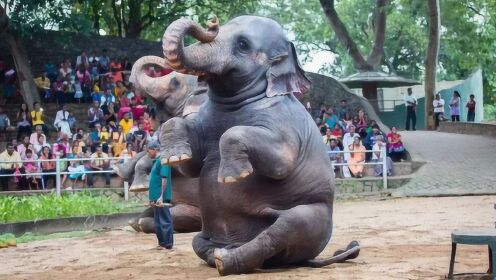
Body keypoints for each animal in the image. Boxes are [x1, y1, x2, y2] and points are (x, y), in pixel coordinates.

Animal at [158, 15, 360, 276]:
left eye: (243, 44)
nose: (211, 22)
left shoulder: (285, 124)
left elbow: (279, 163)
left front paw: (232, 177)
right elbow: (189, 162)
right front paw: (173, 157)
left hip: (313, 217)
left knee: (284, 228)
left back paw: (226, 260)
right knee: (197, 241)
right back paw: (219, 254)